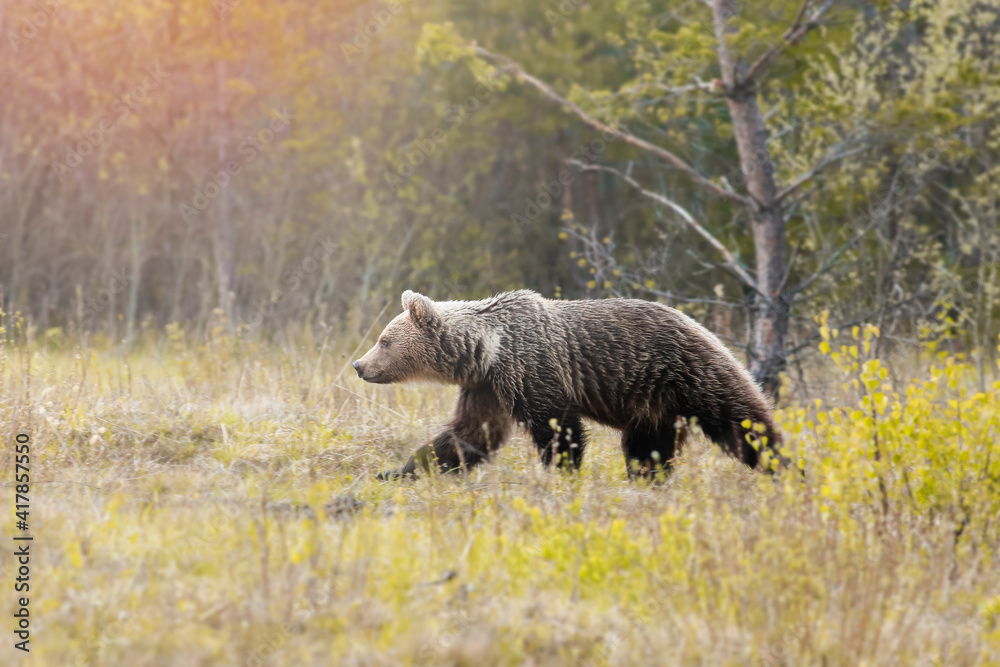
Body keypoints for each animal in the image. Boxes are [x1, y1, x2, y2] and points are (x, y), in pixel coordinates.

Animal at [352, 290, 780, 478]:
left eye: (384, 340)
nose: (358, 365)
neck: (487, 350)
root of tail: (700, 325)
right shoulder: (488, 387)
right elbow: (468, 434)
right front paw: (399, 470)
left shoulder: (532, 369)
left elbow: (558, 429)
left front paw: (560, 475)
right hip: (654, 404)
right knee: (646, 448)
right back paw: (647, 478)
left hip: (689, 374)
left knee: (743, 423)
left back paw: (783, 467)